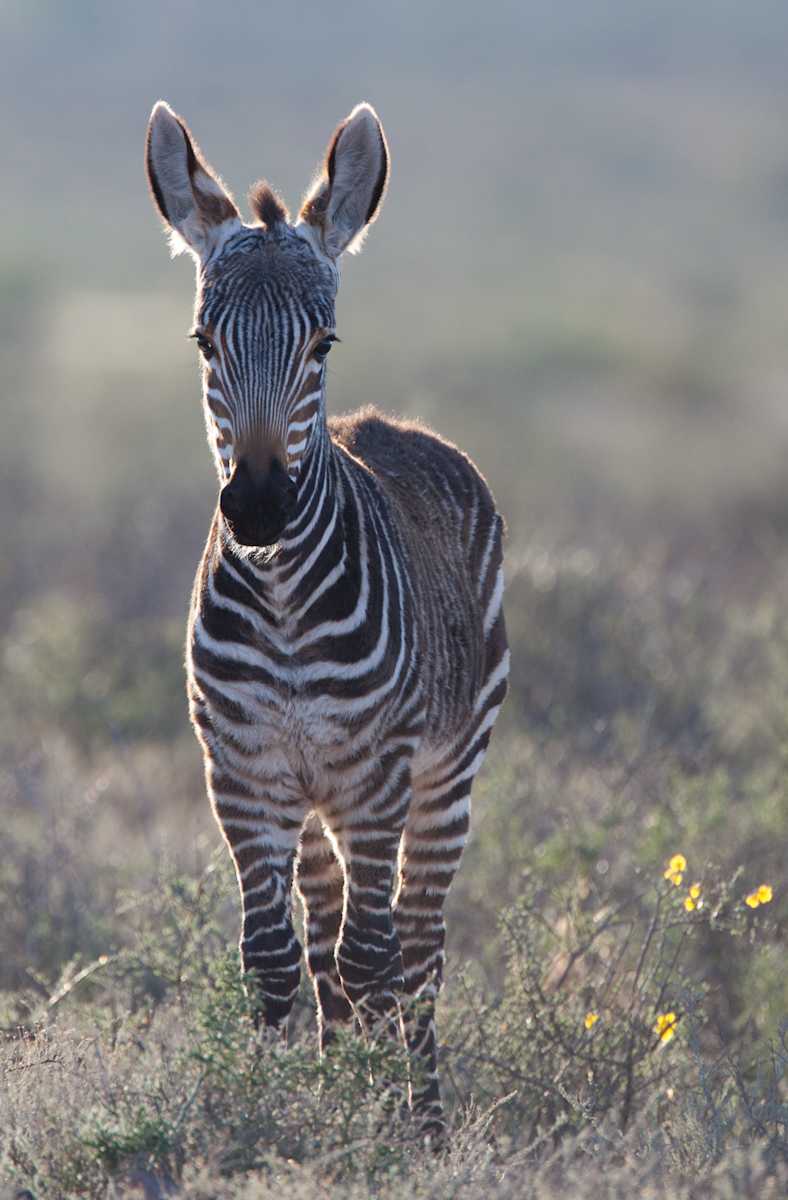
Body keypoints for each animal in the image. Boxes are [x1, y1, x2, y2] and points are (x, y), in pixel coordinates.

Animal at [145, 98, 509, 1134]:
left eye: (322, 346)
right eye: (204, 343)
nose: (260, 509)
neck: (281, 604)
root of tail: (387, 423)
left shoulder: (375, 776)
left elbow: (375, 959)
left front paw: (384, 1129)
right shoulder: (242, 771)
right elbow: (273, 965)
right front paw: (273, 1116)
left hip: (443, 778)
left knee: (413, 950)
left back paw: (424, 1113)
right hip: (311, 805)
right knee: (325, 950)